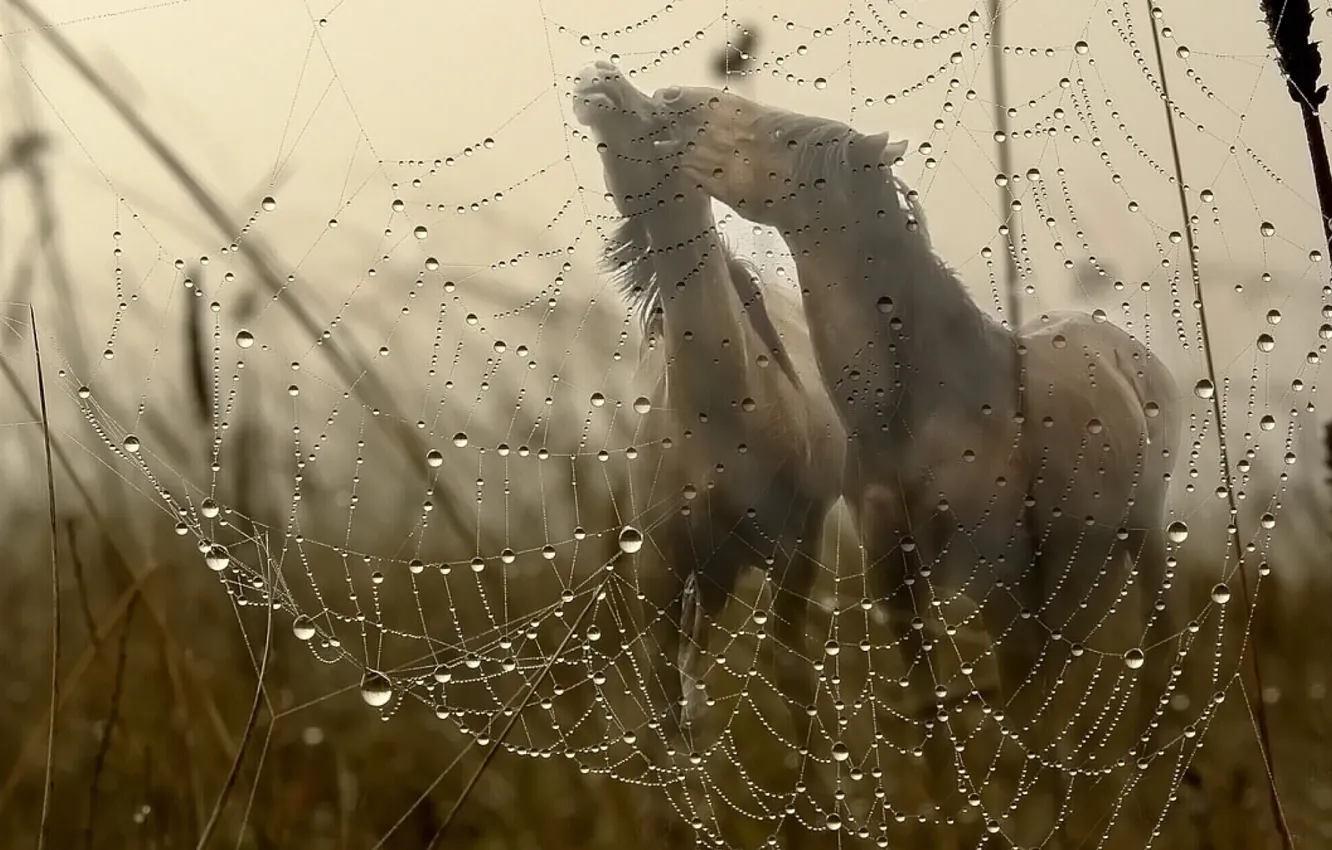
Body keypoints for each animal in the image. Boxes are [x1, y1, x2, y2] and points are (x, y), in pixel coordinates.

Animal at [571, 62, 847, 758]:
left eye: (666, 114)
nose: (598, 75)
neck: (721, 419)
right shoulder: (661, 566)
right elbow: (665, 701)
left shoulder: (794, 545)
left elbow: (792, 675)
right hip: (713, 571)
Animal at [642, 83, 1185, 842]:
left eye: (783, 134)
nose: (672, 101)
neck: (928, 407)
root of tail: (1129, 350)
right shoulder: (891, 567)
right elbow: (930, 712)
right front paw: (956, 814)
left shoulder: (1002, 580)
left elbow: (1023, 720)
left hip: (1143, 539)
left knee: (1147, 662)